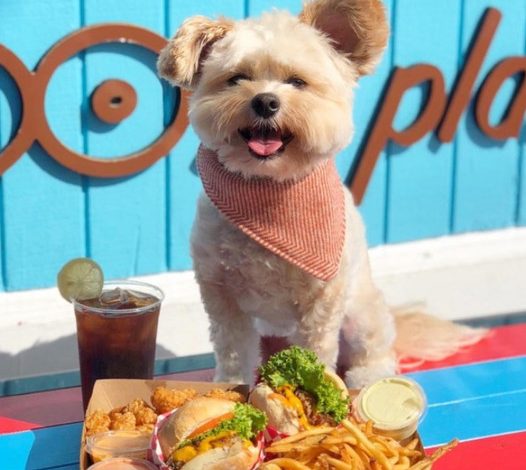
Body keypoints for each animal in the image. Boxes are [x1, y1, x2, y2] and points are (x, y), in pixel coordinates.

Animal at [158, 0, 486, 388]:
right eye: (236, 78)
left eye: (297, 82)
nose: (265, 101)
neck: (269, 190)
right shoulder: (222, 295)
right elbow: (233, 350)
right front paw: (230, 386)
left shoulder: (322, 301)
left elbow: (314, 351)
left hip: (361, 313)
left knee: (374, 349)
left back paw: (369, 375)